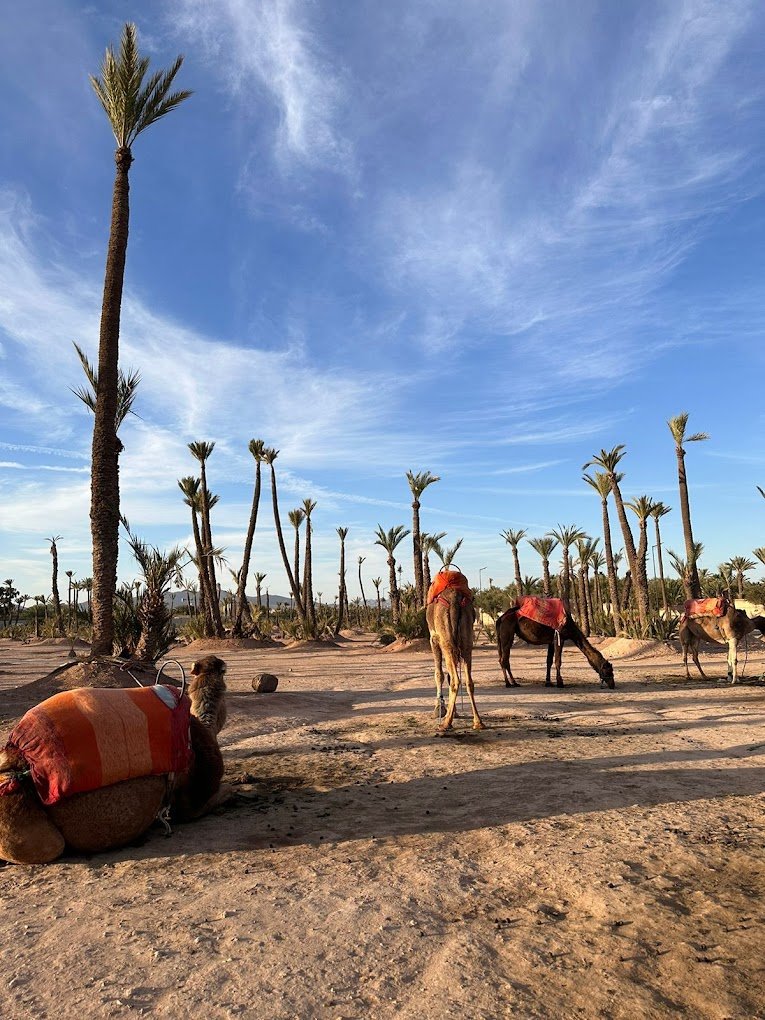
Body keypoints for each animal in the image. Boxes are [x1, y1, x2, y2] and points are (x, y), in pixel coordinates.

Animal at [426, 567, 485, 734]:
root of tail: (455, 599)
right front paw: (453, 712)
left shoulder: (434, 640)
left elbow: (439, 675)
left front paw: (439, 710)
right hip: (466, 641)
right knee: (469, 681)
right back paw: (478, 722)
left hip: (447, 642)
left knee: (455, 679)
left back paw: (445, 723)